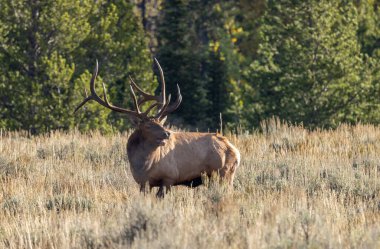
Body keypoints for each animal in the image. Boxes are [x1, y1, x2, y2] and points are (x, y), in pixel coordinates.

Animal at [74, 59, 240, 197]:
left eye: (161, 122)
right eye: (148, 125)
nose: (167, 133)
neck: (143, 166)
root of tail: (235, 151)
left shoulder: (169, 176)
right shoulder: (142, 182)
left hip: (223, 173)